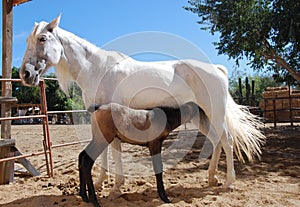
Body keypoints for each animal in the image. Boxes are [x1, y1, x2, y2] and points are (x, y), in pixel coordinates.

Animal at [19, 15, 264, 206]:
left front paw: (116, 187)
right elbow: (104, 153)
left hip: (216, 114)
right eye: (29, 40)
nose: (25, 74)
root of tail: (218, 69)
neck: (97, 69)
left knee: (227, 141)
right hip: (201, 118)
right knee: (216, 141)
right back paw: (212, 177)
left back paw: (228, 182)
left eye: (42, 38)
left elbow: (114, 151)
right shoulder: (99, 120)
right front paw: (100, 183)